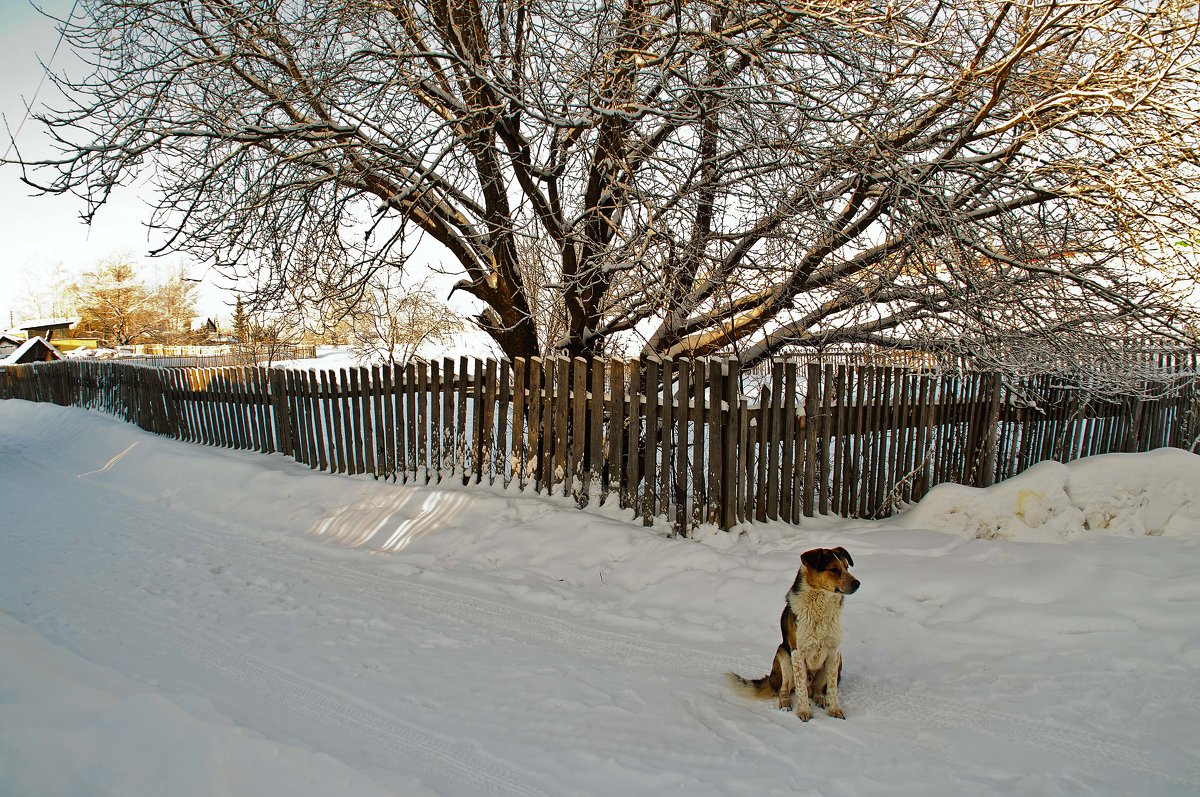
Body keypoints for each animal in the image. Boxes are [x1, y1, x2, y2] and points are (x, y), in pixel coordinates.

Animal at [724, 547, 859, 720]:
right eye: (834, 569)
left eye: (847, 567)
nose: (858, 583)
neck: (821, 606)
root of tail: (772, 679)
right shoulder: (797, 652)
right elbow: (801, 688)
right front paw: (804, 711)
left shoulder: (834, 651)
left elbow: (832, 689)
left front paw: (834, 709)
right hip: (783, 655)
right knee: (785, 689)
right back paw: (786, 702)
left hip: (838, 661)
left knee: (817, 690)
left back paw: (820, 699)